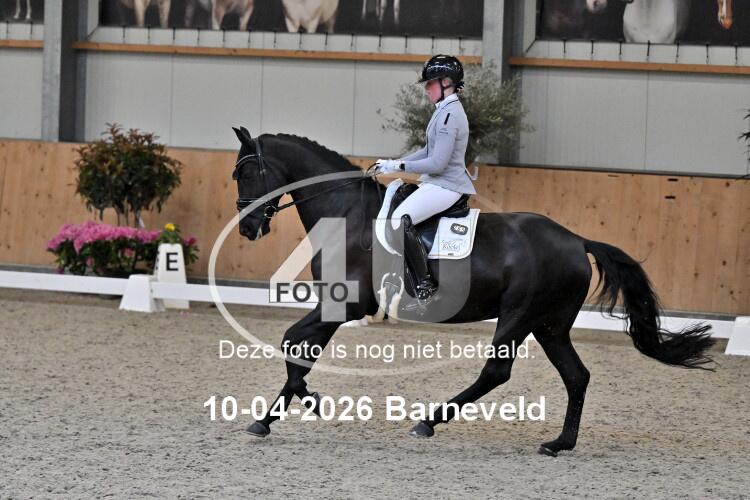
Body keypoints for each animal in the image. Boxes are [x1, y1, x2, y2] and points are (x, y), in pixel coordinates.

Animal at [230, 127, 715, 456]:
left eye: (248, 172)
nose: (248, 228)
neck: (345, 213)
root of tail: (577, 240)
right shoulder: (336, 305)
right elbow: (298, 349)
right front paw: (271, 418)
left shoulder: (343, 304)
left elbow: (291, 343)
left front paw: (309, 402)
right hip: (550, 324)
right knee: (576, 375)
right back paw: (559, 443)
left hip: (519, 316)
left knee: (496, 372)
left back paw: (427, 423)